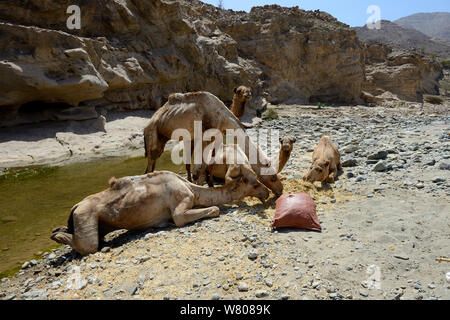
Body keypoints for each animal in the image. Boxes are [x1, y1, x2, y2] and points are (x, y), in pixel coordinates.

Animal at [50, 170, 268, 255]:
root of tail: (76, 206)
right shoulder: (181, 203)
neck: (193, 189)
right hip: (85, 215)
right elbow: (210, 210)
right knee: (89, 245)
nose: (266, 192)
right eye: (255, 183)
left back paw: (58, 229)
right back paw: (55, 234)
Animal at [142, 90, 284, 195]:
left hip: (162, 138)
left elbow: (211, 162)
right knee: (151, 161)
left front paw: (210, 185)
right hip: (153, 133)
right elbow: (199, 168)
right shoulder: (203, 136)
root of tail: (147, 124)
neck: (222, 116)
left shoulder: (217, 136)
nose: (280, 190)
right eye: (273, 177)